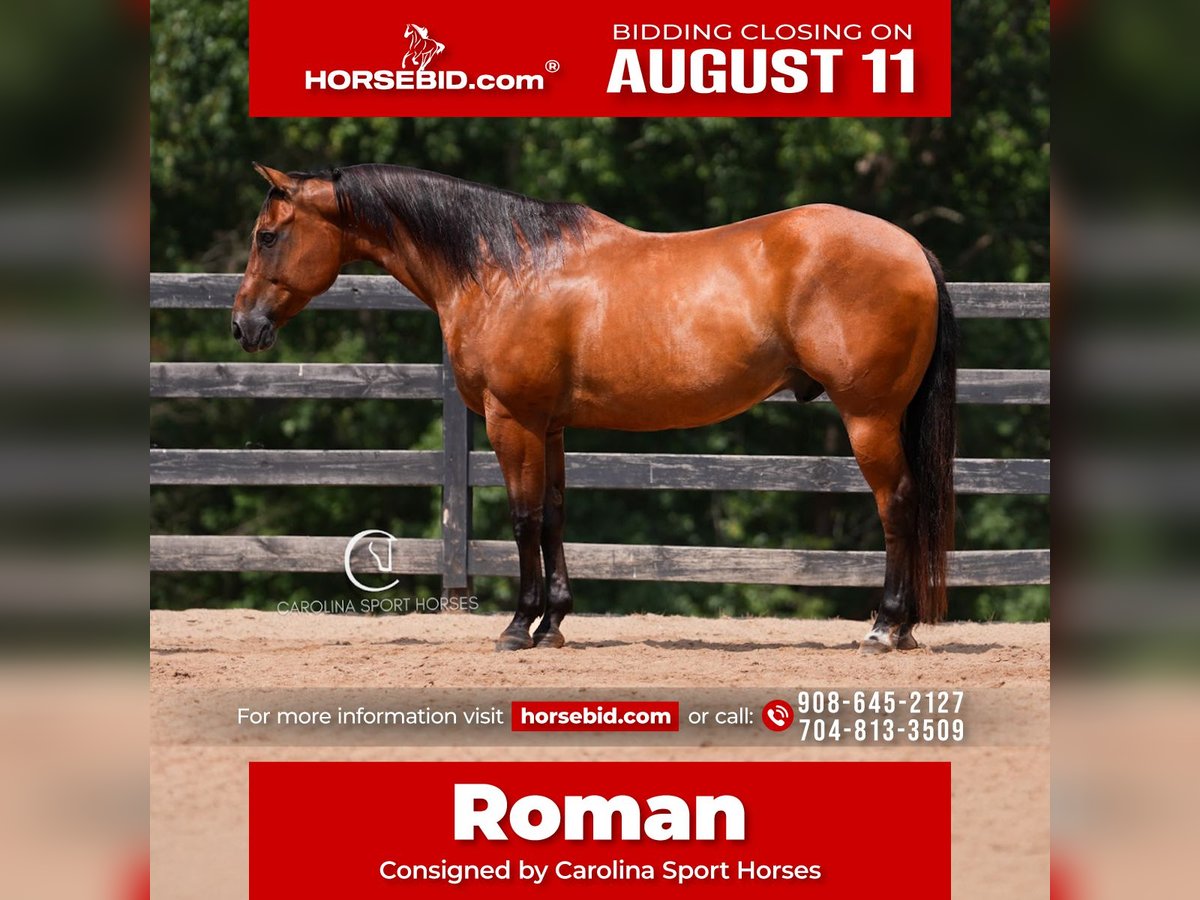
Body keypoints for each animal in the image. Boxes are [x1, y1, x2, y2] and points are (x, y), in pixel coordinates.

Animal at [233, 163, 957, 654]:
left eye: (267, 235)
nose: (244, 325)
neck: (505, 269)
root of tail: (911, 247)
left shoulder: (512, 420)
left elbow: (523, 519)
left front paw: (517, 626)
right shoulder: (550, 427)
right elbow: (554, 516)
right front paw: (553, 622)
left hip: (869, 420)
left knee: (897, 504)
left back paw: (885, 627)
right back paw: (901, 629)